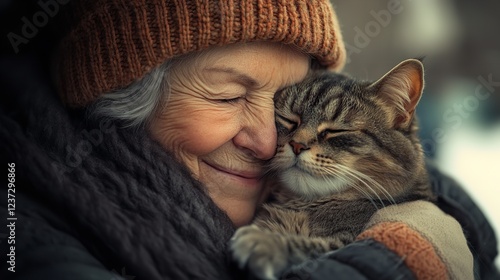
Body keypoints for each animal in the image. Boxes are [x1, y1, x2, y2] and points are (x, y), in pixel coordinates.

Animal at [229, 58, 434, 278]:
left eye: (335, 131)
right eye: (289, 119)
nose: (297, 145)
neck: (301, 206)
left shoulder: (348, 241)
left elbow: (313, 248)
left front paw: (264, 242)